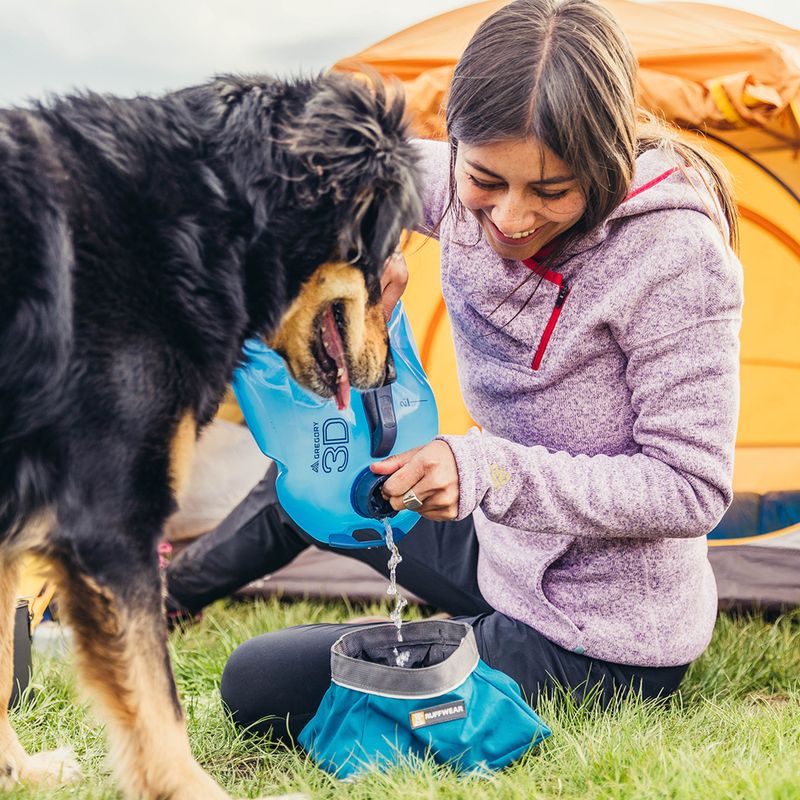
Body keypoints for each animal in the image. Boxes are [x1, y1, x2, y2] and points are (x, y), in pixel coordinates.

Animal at [0, 72, 422, 796]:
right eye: (386, 254)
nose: (391, 373)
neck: (208, 222)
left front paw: (20, 770)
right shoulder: (113, 517)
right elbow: (156, 702)